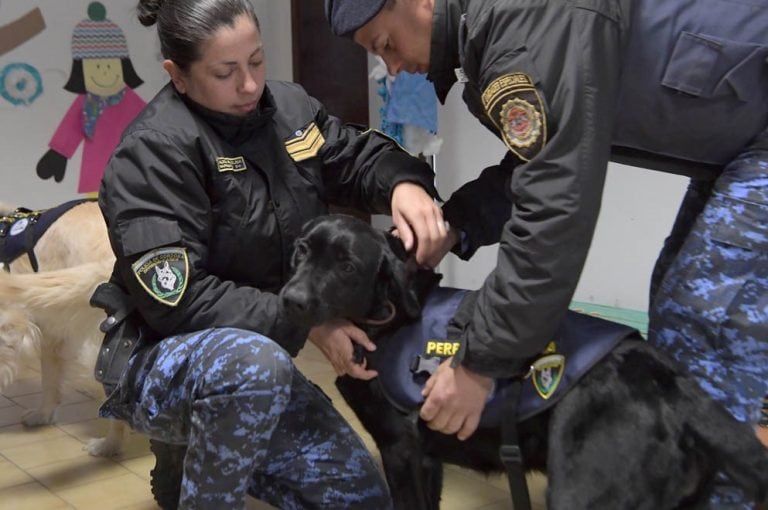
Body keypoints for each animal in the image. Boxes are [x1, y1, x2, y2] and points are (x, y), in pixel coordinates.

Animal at [280, 214, 768, 510]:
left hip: (584, 491)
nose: (290, 299)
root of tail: (672, 381)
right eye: (301, 250)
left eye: (346, 267)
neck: (388, 317)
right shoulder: (427, 459)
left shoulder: (402, 451)